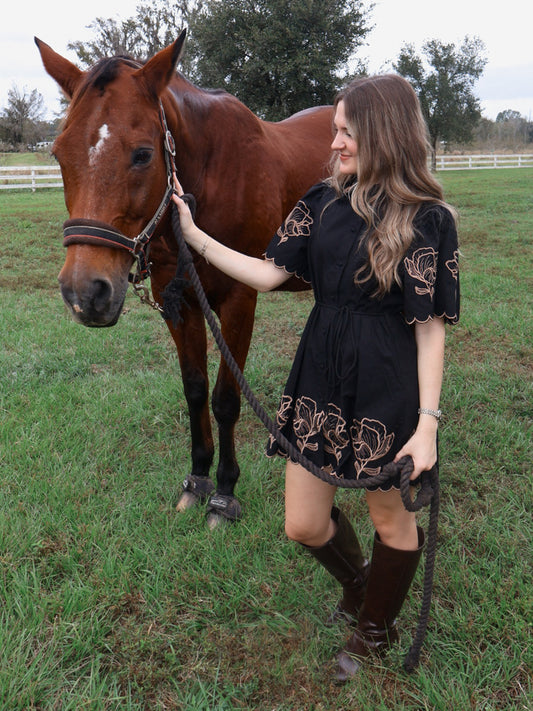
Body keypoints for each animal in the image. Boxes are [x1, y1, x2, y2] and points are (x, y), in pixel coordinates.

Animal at [35, 30, 332, 524]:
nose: (85, 293)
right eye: (59, 154)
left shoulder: (239, 300)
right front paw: (198, 479)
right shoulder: (178, 302)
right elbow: (195, 390)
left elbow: (226, 398)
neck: (212, 175)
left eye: (142, 154)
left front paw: (226, 493)